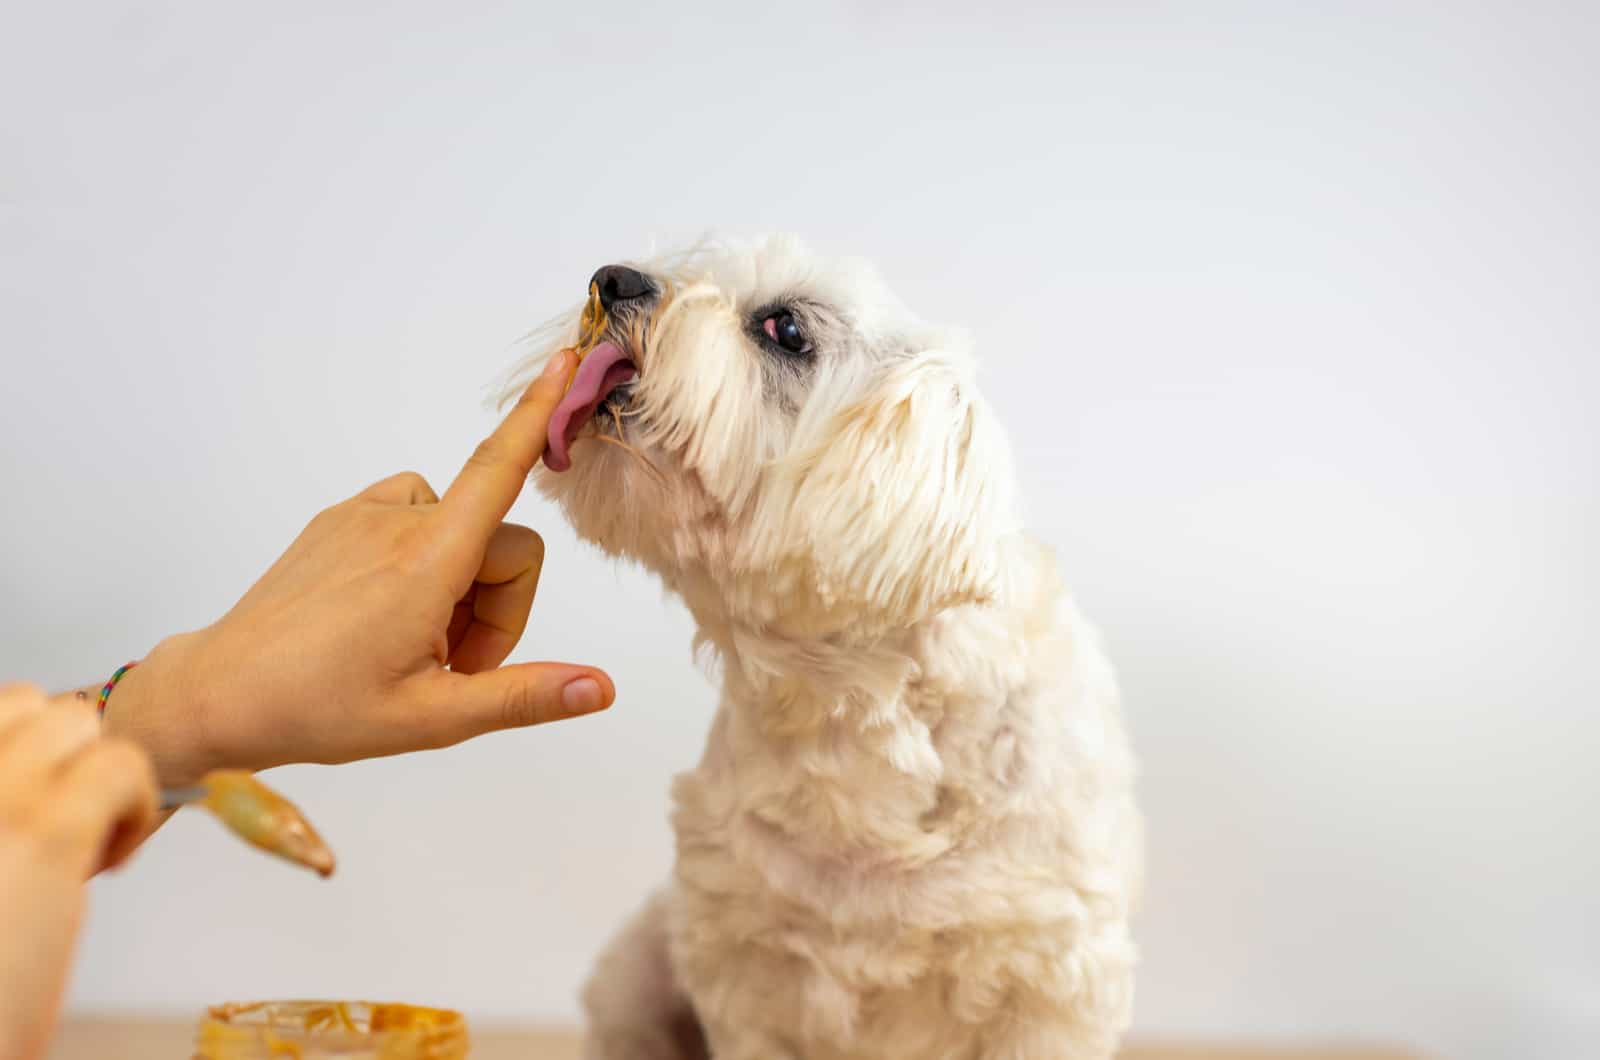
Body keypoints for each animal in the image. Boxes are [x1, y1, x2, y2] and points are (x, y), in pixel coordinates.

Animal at [505, 238, 1145, 1060]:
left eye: (786, 330)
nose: (614, 279)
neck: (846, 714)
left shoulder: (1049, 980)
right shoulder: (746, 971)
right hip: (637, 974)